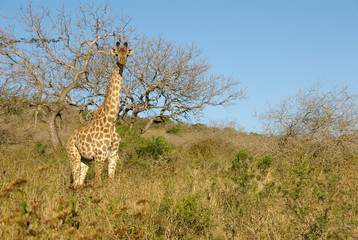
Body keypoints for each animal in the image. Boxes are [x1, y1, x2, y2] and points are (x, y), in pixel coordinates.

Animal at [66, 41, 133, 188]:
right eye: (116, 54)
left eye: (126, 54)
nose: (122, 61)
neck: (110, 121)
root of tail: (69, 137)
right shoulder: (99, 155)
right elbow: (97, 183)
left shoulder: (114, 156)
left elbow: (111, 182)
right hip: (74, 155)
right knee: (75, 181)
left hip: (85, 159)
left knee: (80, 182)